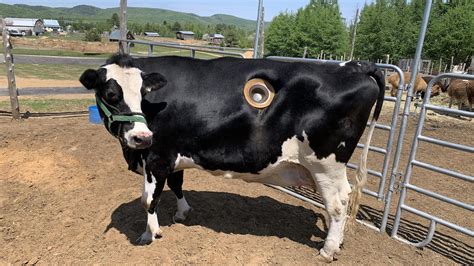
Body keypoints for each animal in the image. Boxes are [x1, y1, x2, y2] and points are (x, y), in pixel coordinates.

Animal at [80, 54, 386, 262]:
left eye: (143, 93)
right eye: (110, 93)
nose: (141, 136)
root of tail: (355, 65)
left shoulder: (157, 156)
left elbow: (148, 199)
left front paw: (149, 234)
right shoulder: (174, 153)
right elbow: (177, 185)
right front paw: (182, 212)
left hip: (325, 165)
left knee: (337, 204)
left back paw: (328, 249)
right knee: (345, 199)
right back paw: (338, 241)